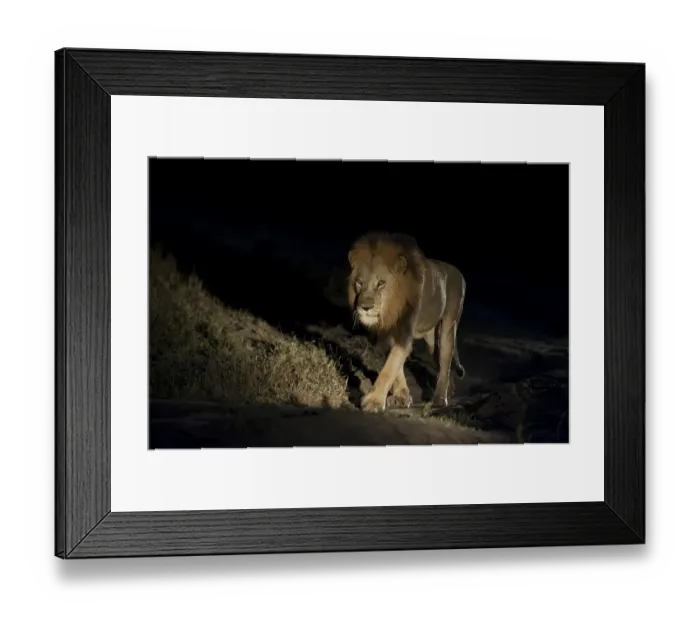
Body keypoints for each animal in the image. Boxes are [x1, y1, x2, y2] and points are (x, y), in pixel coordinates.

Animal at [347, 231, 466, 413]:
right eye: (360, 282)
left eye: (381, 283)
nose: (365, 307)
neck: (390, 309)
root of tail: (459, 273)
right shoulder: (387, 333)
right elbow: (396, 367)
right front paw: (401, 397)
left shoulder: (404, 332)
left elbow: (390, 367)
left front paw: (374, 401)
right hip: (432, 339)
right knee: (439, 361)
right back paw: (450, 390)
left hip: (448, 326)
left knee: (446, 360)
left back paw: (440, 399)